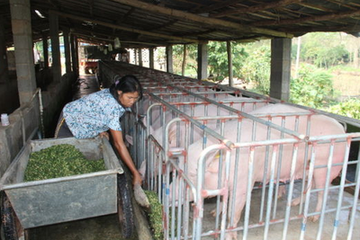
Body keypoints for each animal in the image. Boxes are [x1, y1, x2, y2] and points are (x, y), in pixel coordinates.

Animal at [172, 103, 346, 240]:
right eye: (180, 166)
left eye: (193, 174)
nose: (169, 192)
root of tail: (342, 130)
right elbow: (224, 201)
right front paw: (215, 213)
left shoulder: (243, 183)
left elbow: (234, 211)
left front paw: (229, 235)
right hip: (308, 166)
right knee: (309, 186)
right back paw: (293, 203)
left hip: (326, 164)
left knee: (323, 190)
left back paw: (314, 218)